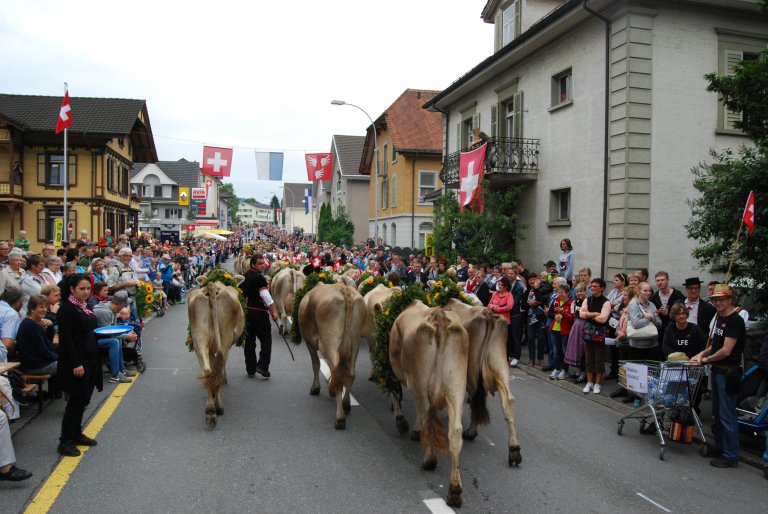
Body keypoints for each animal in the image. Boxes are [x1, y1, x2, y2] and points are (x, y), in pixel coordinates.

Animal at [188, 274, 244, 426]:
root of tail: (212, 287)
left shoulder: (210, 348)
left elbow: (213, 365)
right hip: (224, 339)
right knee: (219, 366)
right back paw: (218, 408)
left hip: (199, 339)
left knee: (208, 370)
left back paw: (210, 410)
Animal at [296, 280, 366, 428]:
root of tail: (344, 290)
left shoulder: (310, 343)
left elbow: (316, 364)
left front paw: (316, 388)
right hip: (355, 340)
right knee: (349, 374)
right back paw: (346, 404)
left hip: (331, 342)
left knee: (336, 371)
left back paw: (340, 418)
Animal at [390, 300, 468, 504]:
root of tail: (438, 316)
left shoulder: (408, 380)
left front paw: (412, 429)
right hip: (456, 387)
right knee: (455, 432)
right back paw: (454, 489)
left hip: (422, 382)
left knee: (428, 420)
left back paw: (429, 460)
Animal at [440, 298, 524, 466]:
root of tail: (487, 314)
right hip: (499, 363)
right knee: (507, 400)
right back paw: (514, 450)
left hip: (472, 370)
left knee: (475, 398)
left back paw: (471, 432)